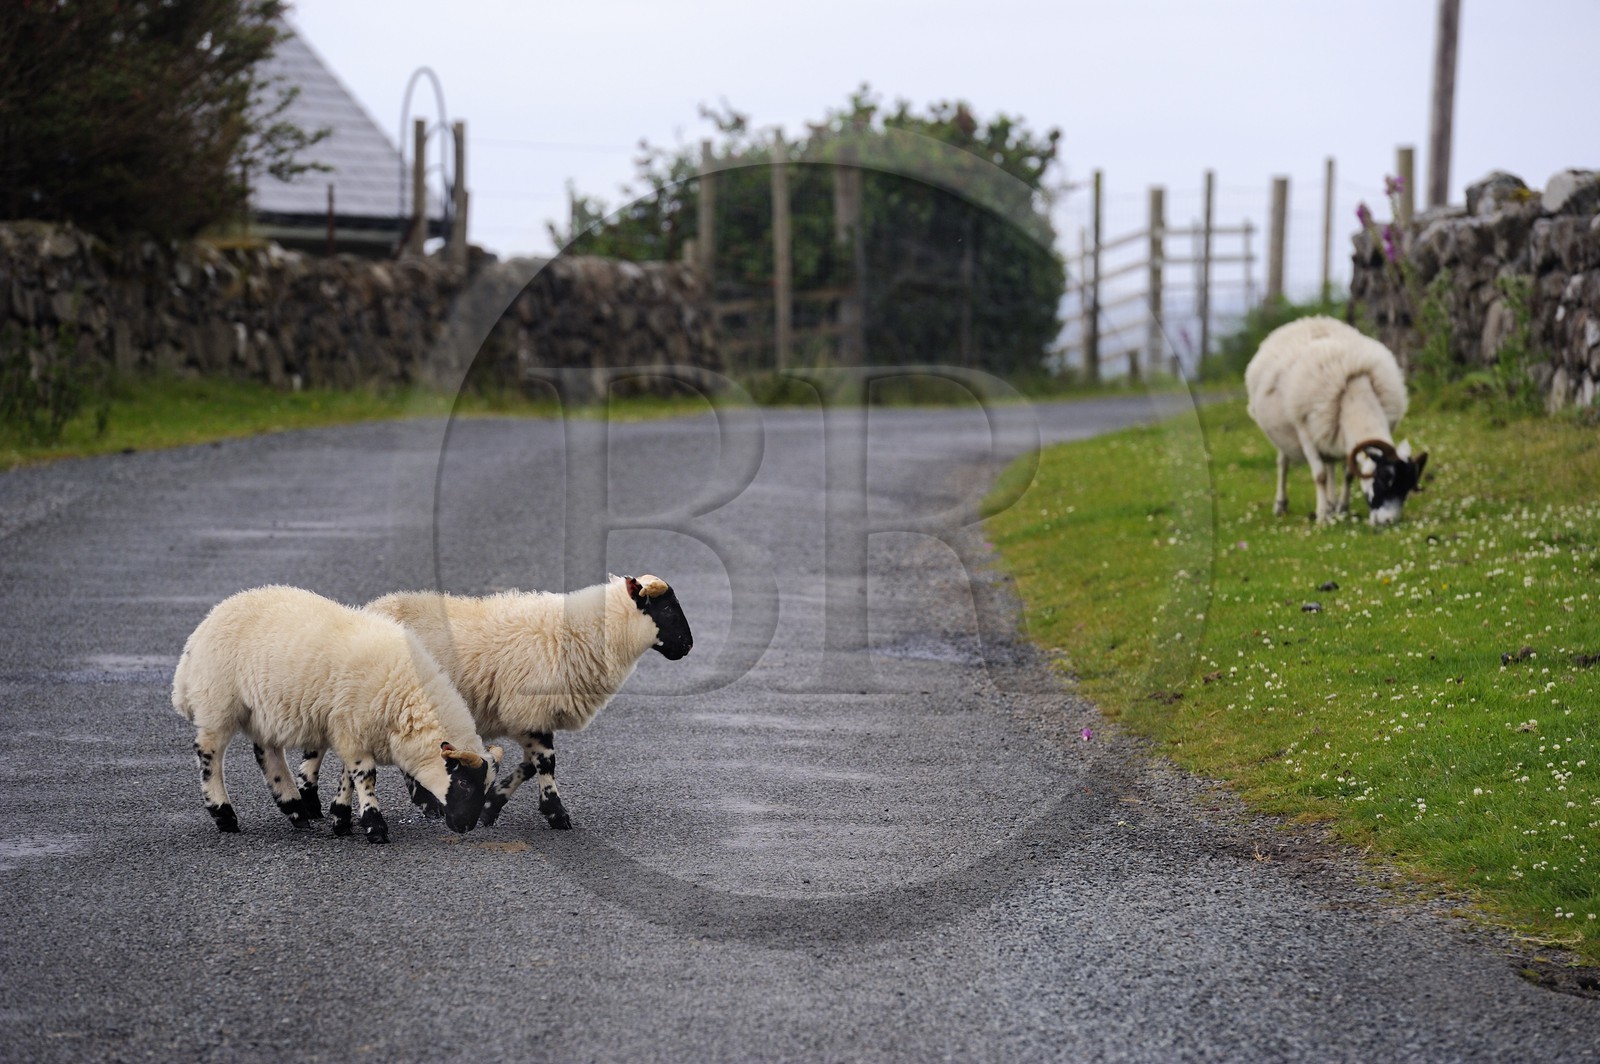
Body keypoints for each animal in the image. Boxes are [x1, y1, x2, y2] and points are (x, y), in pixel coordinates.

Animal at [171, 585, 502, 843]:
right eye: (463, 783)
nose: (467, 827)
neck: (404, 690)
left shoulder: (349, 728)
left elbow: (348, 775)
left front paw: (340, 819)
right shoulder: (352, 727)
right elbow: (365, 776)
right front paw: (374, 827)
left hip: (264, 709)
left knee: (267, 752)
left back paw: (294, 808)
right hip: (219, 700)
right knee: (208, 751)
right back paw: (224, 814)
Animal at [362, 574, 693, 830]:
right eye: (668, 608)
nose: (688, 646)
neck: (587, 632)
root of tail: (373, 607)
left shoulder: (530, 717)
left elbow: (530, 766)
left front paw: (491, 805)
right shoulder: (528, 712)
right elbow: (546, 762)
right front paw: (557, 814)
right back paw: (426, 804)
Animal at [1245, 316, 1428, 527]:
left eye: (1407, 487)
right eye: (1383, 479)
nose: (1388, 521)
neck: (1354, 394)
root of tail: (1301, 322)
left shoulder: (1344, 439)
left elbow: (1347, 473)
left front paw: (1342, 508)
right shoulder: (1305, 433)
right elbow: (1320, 476)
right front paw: (1321, 517)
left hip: (1327, 428)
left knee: (1330, 463)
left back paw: (1332, 505)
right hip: (1286, 433)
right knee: (1283, 464)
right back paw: (1282, 505)